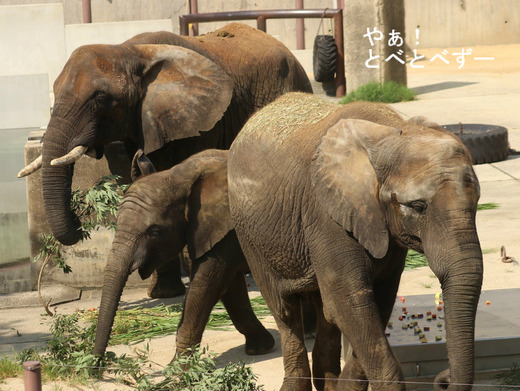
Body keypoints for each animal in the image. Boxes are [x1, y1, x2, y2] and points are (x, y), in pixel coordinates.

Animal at [92, 150, 276, 362]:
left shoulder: (227, 224)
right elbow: (229, 285)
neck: (179, 175)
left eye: (154, 231)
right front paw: (260, 349)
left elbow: (206, 283)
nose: (100, 361)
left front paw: (177, 369)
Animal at [228, 92, 484, 391]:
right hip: (249, 234)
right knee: (286, 311)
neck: (394, 131)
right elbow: (349, 302)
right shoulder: (326, 213)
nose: (442, 379)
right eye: (418, 207)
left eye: (477, 203)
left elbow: (377, 302)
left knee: (324, 312)